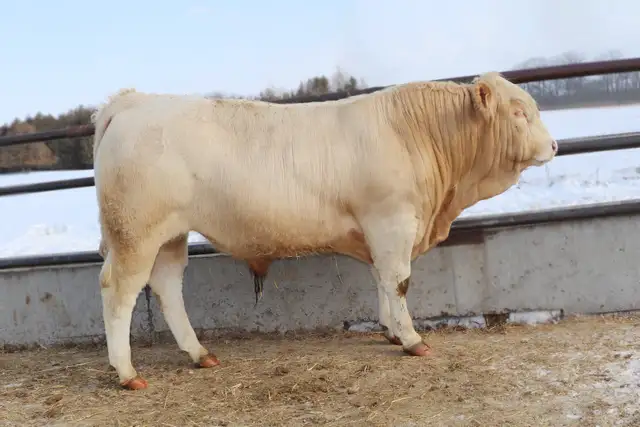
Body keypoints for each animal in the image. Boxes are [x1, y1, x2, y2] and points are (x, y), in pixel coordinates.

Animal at [92, 72, 557, 390]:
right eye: (519, 113)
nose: (554, 145)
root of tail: (133, 102)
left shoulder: (380, 230)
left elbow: (382, 279)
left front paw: (391, 331)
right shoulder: (392, 220)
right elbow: (399, 281)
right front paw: (411, 339)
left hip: (170, 235)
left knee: (168, 287)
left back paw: (199, 353)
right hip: (135, 233)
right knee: (119, 294)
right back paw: (127, 372)